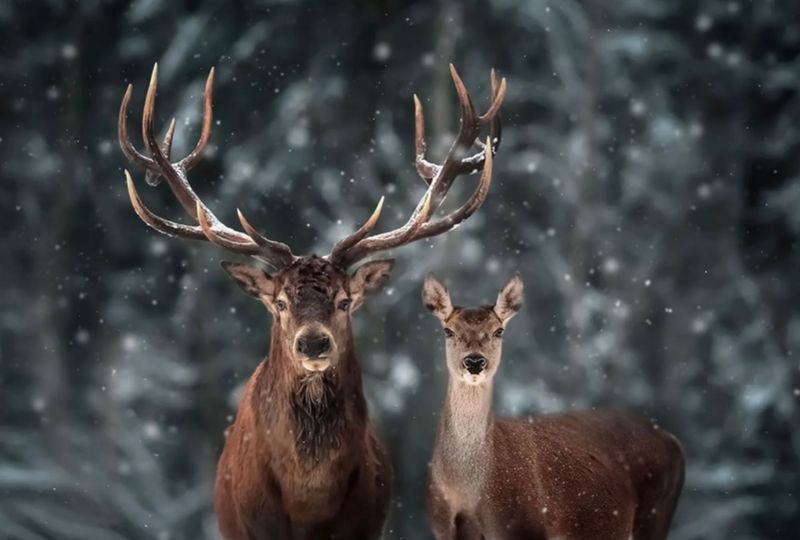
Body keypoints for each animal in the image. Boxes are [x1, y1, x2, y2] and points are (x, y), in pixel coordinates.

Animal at [422, 274, 685, 540]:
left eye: (498, 331)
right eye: (448, 330)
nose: (474, 361)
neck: (467, 489)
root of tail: (671, 439)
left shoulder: (523, 526)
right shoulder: (442, 528)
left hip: (655, 513)